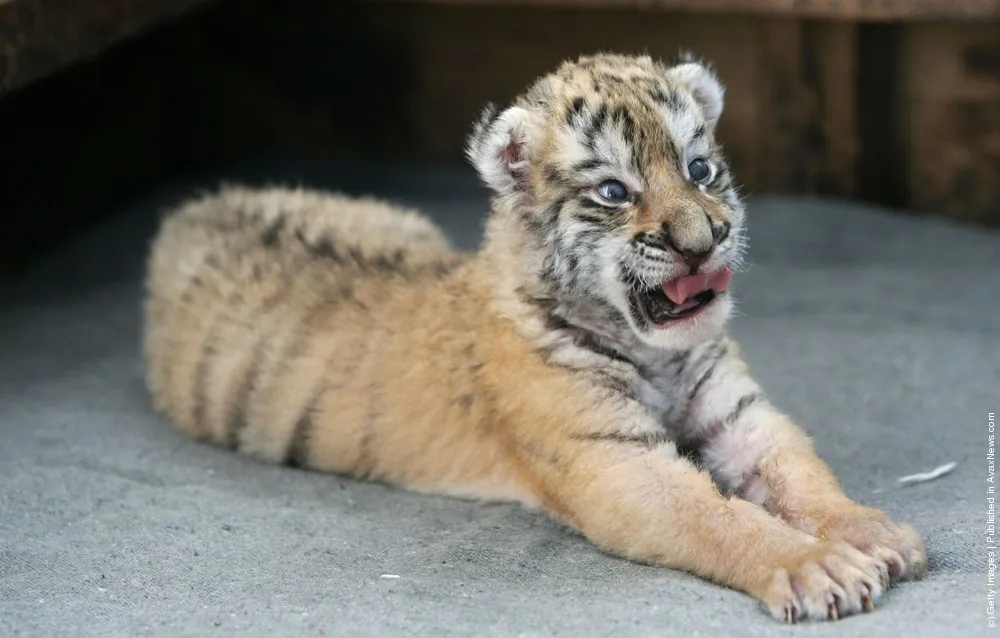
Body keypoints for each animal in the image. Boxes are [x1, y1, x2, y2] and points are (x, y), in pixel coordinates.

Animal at [142, 52, 926, 623]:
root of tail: (203, 202)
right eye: (614, 192)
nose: (707, 242)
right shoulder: (613, 463)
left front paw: (871, 533)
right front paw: (818, 567)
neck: (653, 351)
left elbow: (804, 476)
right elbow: (720, 519)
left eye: (700, 169)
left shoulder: (741, 419)